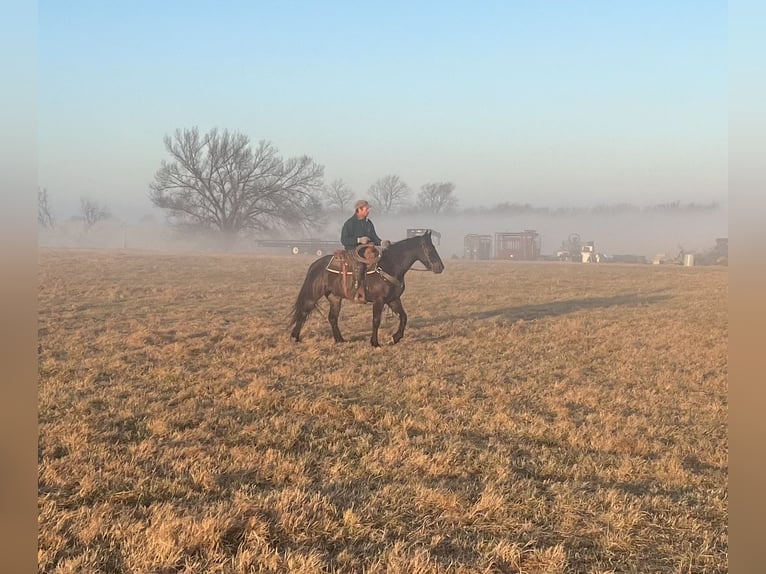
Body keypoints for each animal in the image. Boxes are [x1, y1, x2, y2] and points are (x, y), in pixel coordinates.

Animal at [289, 231, 445, 347]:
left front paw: (395, 338)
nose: (440, 267)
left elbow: (404, 317)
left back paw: (340, 340)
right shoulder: (379, 301)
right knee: (303, 312)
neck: (390, 266)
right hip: (313, 295)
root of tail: (315, 264)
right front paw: (375, 343)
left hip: (335, 298)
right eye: (430, 249)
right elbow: (376, 321)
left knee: (332, 317)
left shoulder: (393, 299)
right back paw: (295, 337)